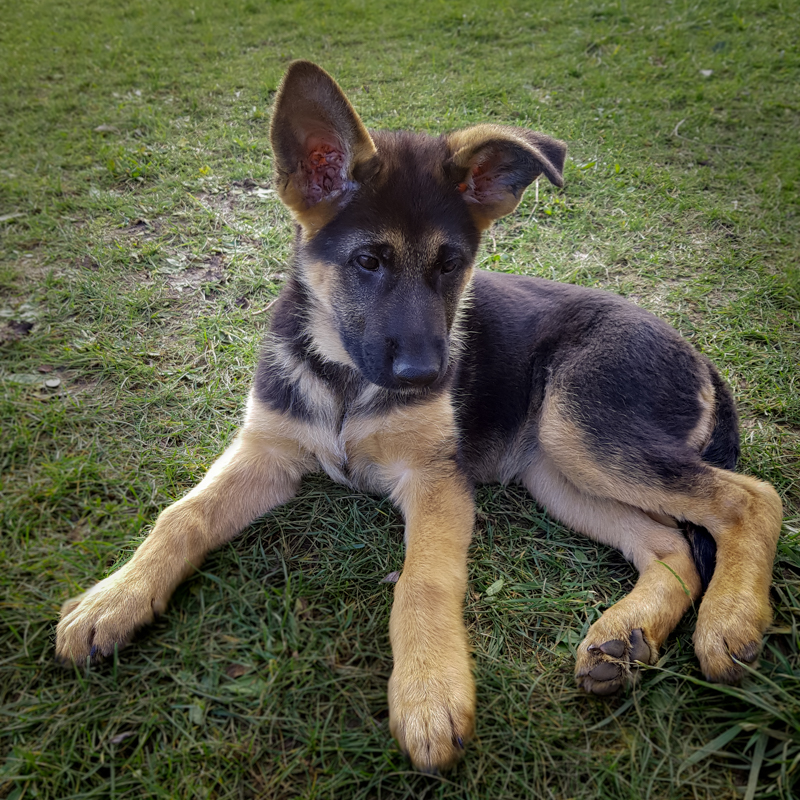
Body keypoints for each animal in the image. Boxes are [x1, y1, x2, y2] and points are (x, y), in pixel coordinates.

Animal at [56, 59, 780, 772]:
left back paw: (728, 622)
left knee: (752, 497)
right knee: (672, 546)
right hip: (557, 471)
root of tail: (700, 356)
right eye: (367, 261)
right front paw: (114, 599)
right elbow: (183, 515)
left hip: (581, 427)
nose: (432, 377)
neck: (344, 378)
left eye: (452, 264)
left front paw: (429, 693)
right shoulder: (267, 451)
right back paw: (623, 637)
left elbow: (422, 582)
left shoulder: (436, 480)